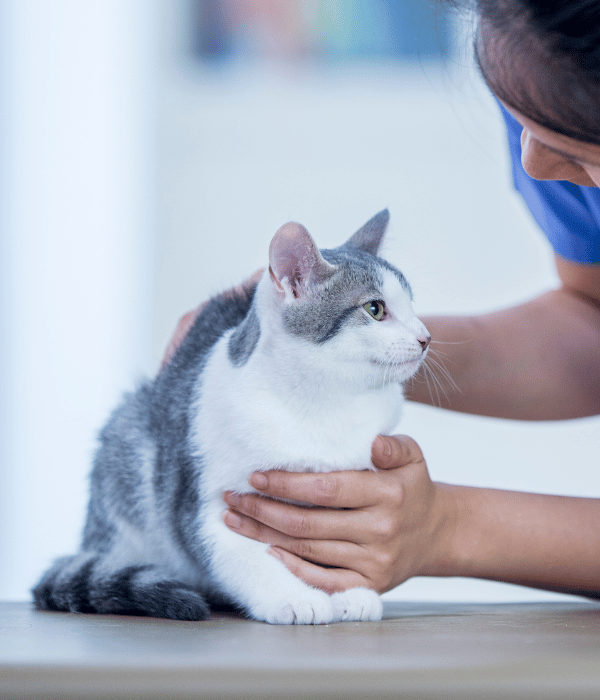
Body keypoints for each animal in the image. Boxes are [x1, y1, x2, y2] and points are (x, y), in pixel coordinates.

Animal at [32, 211, 428, 628]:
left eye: (412, 306)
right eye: (375, 309)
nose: (426, 337)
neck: (322, 403)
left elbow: (334, 552)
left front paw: (348, 591)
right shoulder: (206, 504)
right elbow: (245, 557)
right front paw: (293, 597)